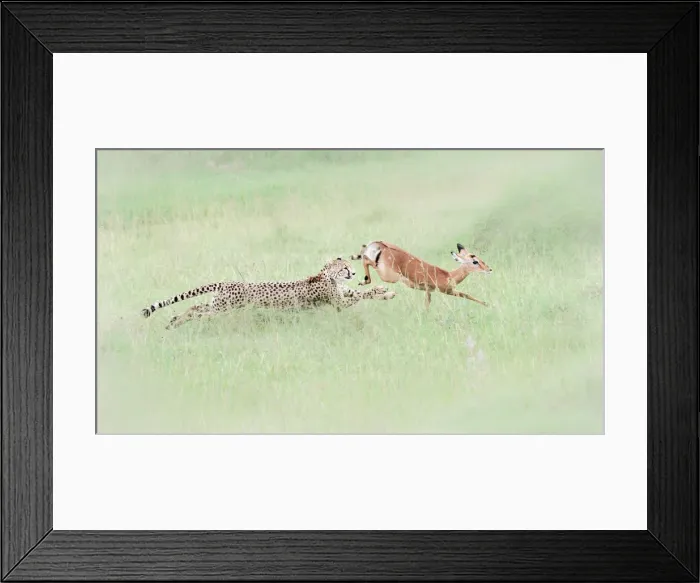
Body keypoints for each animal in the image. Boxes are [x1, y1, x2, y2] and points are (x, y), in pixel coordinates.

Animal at [140, 257, 396, 329]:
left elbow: (362, 293)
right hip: (222, 308)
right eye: (344, 267)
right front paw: (385, 294)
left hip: (218, 305)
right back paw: (177, 322)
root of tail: (226, 282)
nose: (352, 273)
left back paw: (174, 321)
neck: (326, 276)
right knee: (198, 311)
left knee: (195, 307)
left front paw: (382, 290)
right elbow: (361, 296)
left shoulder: (344, 294)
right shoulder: (340, 303)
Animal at [350, 241, 492, 309]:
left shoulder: (431, 291)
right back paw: (364, 280)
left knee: (364, 253)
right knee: (366, 260)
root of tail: (382, 245)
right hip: (389, 276)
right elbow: (466, 295)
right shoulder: (445, 291)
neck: (449, 275)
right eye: (475, 261)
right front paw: (488, 304)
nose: (489, 269)